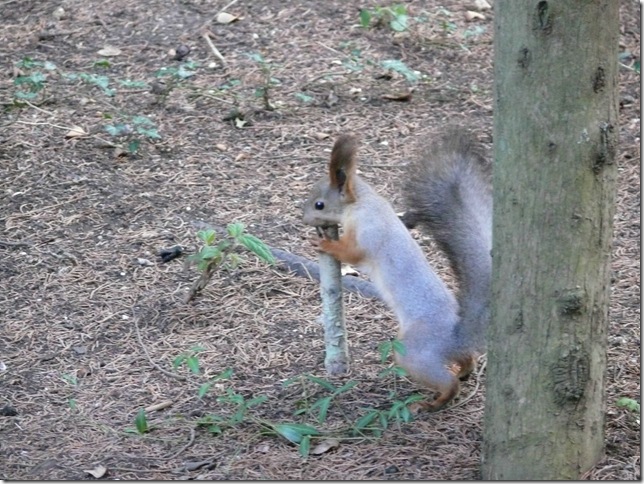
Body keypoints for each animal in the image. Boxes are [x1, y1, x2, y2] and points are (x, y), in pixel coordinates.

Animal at [302, 130, 492, 412]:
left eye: (319, 205)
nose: (304, 218)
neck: (363, 203)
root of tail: (456, 336)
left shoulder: (368, 231)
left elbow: (353, 254)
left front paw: (323, 243)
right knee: (466, 358)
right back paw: (464, 371)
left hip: (413, 352)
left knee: (447, 383)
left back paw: (434, 402)